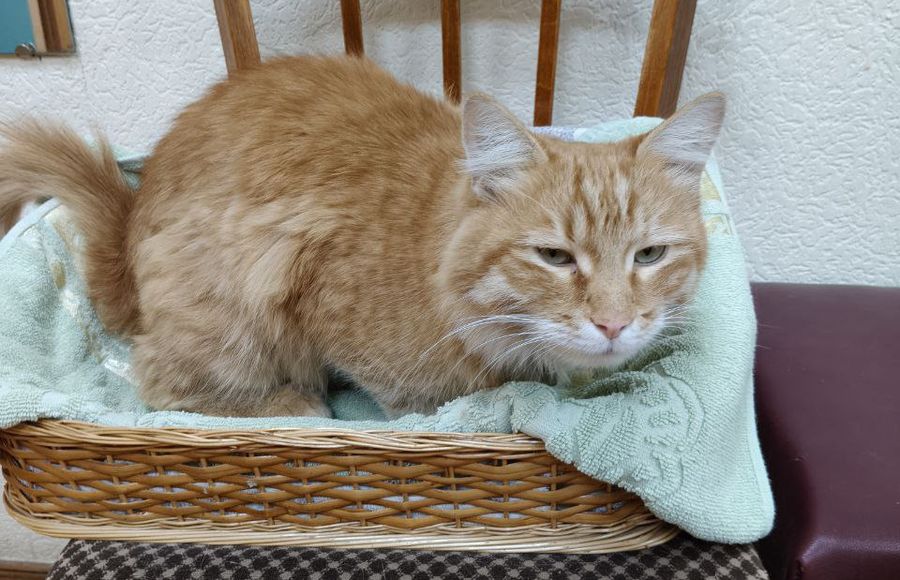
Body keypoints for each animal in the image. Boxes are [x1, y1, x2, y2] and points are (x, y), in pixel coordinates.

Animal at [0, 55, 724, 418]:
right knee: (163, 386)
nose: (614, 324)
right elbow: (414, 406)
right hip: (224, 314)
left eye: (649, 255)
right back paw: (291, 407)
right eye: (554, 257)